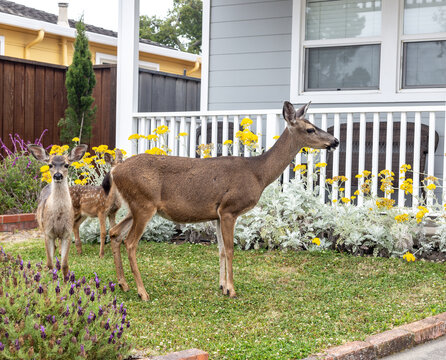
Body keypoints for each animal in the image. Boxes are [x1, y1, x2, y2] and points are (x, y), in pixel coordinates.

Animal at [27, 143, 88, 278]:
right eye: (50, 165)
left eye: (67, 164)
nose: (58, 175)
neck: (58, 218)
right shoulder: (48, 232)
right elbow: (50, 264)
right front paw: (51, 278)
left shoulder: (67, 233)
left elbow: (65, 265)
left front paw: (66, 280)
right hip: (42, 226)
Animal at [107, 102, 338, 300]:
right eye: (310, 129)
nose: (335, 141)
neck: (258, 173)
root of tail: (115, 170)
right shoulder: (229, 209)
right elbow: (229, 250)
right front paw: (232, 290)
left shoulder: (217, 214)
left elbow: (219, 250)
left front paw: (222, 286)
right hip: (144, 204)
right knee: (130, 242)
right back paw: (142, 292)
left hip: (135, 206)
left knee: (115, 233)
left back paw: (123, 284)